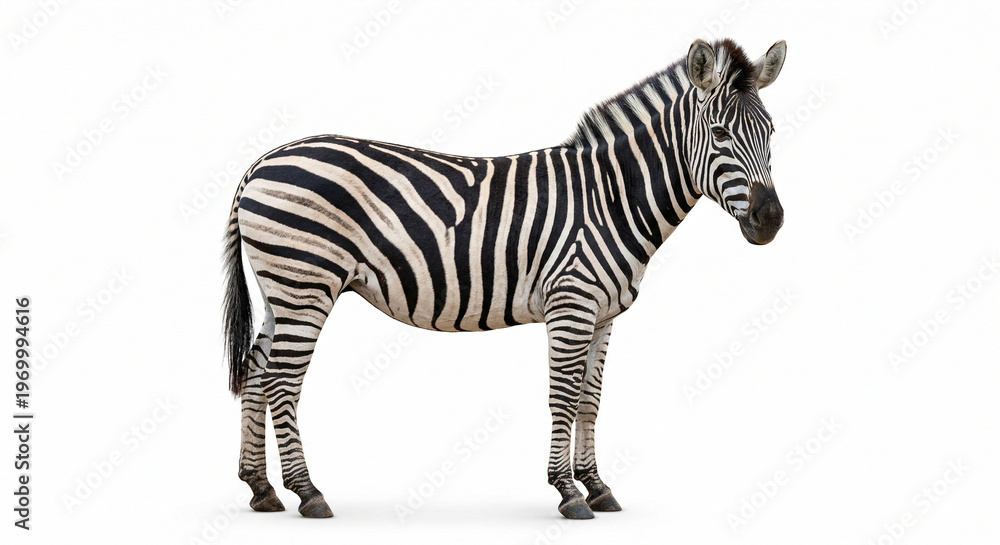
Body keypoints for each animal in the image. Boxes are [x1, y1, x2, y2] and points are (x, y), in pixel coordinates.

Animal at [223, 38, 787, 520]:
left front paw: (597, 486)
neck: (611, 197)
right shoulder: (571, 303)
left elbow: (591, 399)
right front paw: (567, 491)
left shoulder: (604, 313)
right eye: (720, 135)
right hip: (305, 282)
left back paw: (261, 489)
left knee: (256, 369)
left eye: (772, 134)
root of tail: (262, 160)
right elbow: (563, 395)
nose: (771, 220)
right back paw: (308, 492)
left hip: (280, 288)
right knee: (282, 380)